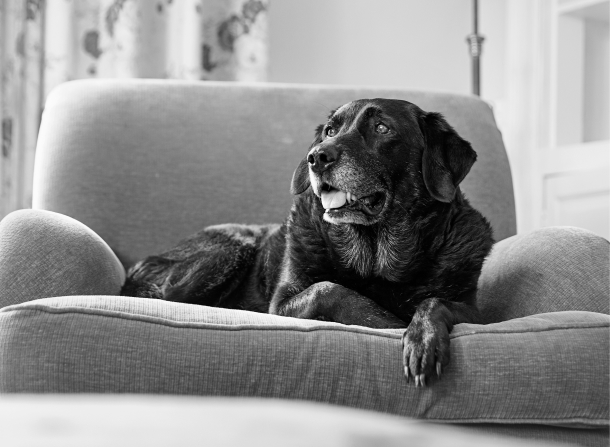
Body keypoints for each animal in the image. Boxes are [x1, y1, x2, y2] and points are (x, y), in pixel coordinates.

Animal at [121, 100, 492, 386]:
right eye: (330, 130)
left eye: (382, 128)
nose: (317, 157)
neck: (375, 259)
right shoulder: (282, 303)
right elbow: (330, 289)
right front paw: (391, 322)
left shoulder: (477, 312)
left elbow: (434, 301)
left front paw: (421, 336)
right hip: (232, 247)